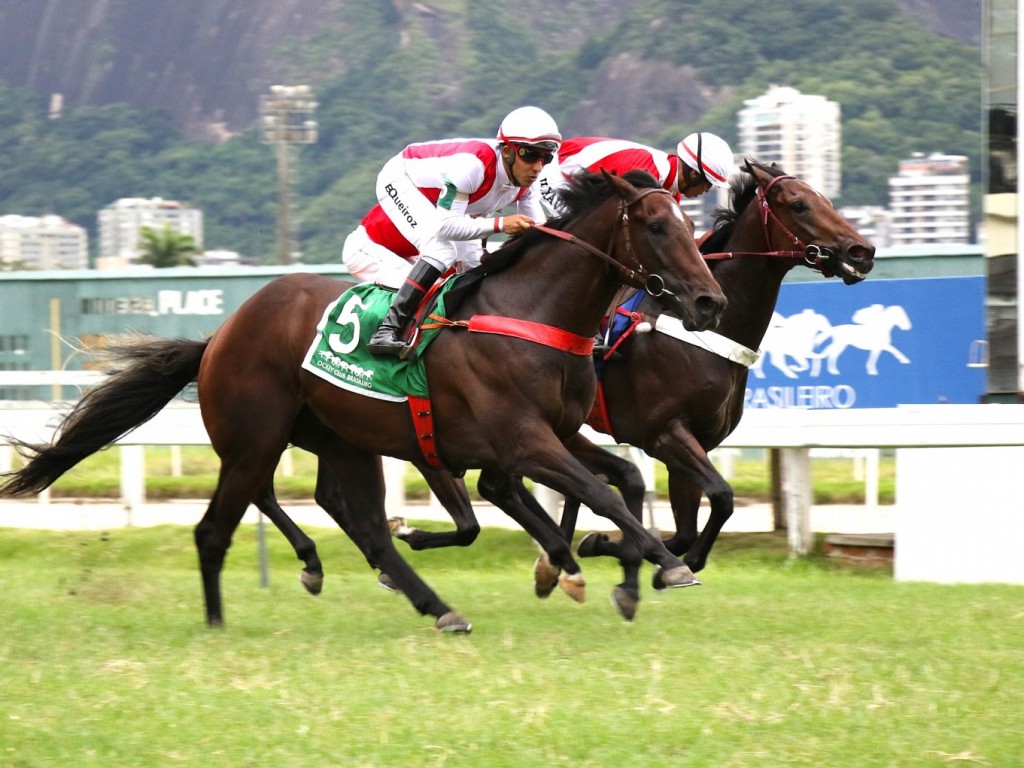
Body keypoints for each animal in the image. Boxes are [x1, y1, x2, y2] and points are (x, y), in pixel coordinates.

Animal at [4, 171, 733, 634]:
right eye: (657, 226)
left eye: (691, 226)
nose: (709, 302)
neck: (531, 312)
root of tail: (223, 333)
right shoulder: (523, 440)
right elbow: (603, 491)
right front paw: (662, 565)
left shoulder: (558, 432)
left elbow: (625, 477)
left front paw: (621, 571)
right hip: (255, 440)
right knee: (216, 528)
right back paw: (218, 622)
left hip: (341, 440)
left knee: (367, 529)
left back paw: (436, 605)